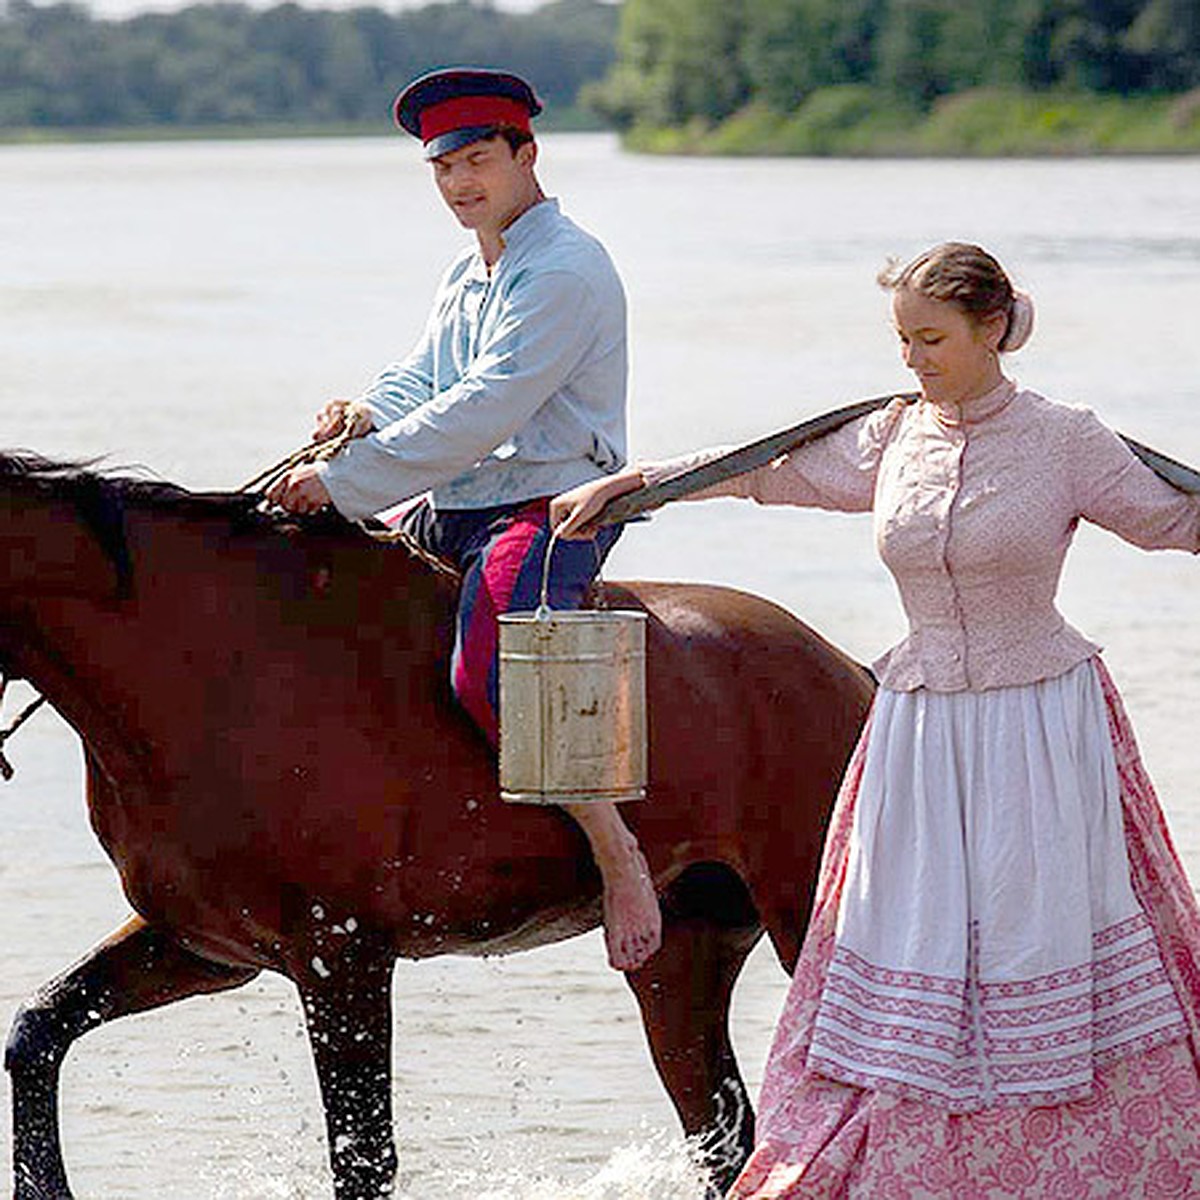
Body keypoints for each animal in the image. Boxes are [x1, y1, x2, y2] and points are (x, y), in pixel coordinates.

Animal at [0, 451, 873, 1200]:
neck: (210, 668)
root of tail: (847, 672)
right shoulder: (209, 945)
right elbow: (35, 1030)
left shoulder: (341, 956)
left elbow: (365, 1159)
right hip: (681, 960)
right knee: (725, 1139)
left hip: (802, 923)